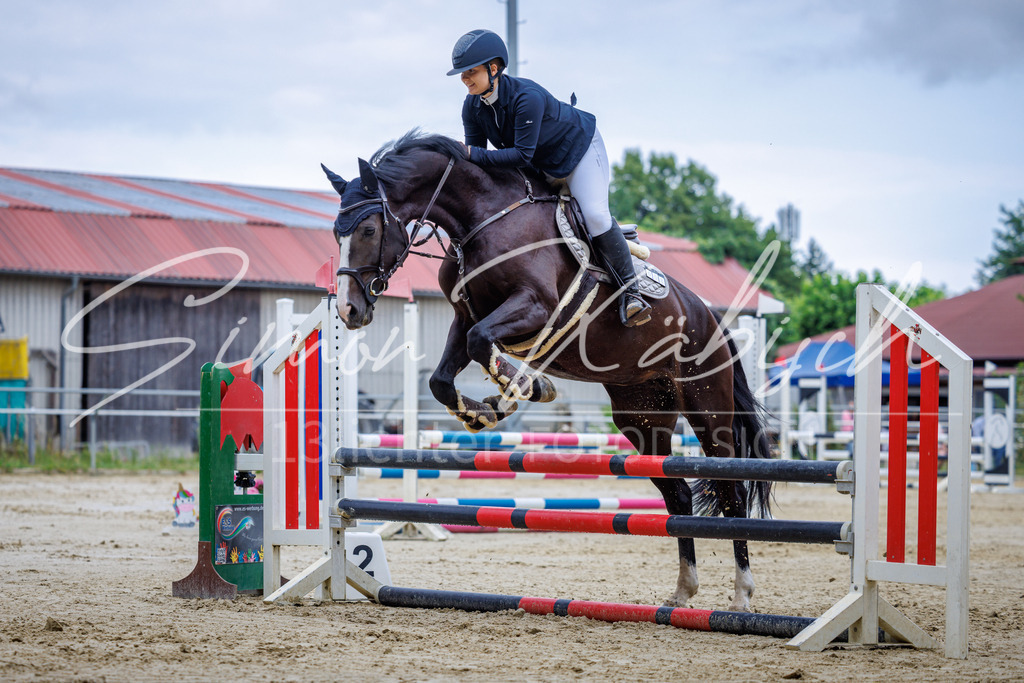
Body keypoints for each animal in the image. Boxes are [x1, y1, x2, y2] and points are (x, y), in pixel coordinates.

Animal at [322, 129, 773, 612]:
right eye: (336, 233)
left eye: (369, 229)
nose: (348, 310)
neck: (481, 221)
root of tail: (712, 318)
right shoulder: (464, 316)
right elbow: (443, 376)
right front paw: (484, 410)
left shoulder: (533, 306)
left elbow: (482, 342)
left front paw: (529, 387)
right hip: (642, 415)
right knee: (678, 494)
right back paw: (682, 590)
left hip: (708, 406)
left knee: (731, 490)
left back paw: (742, 594)